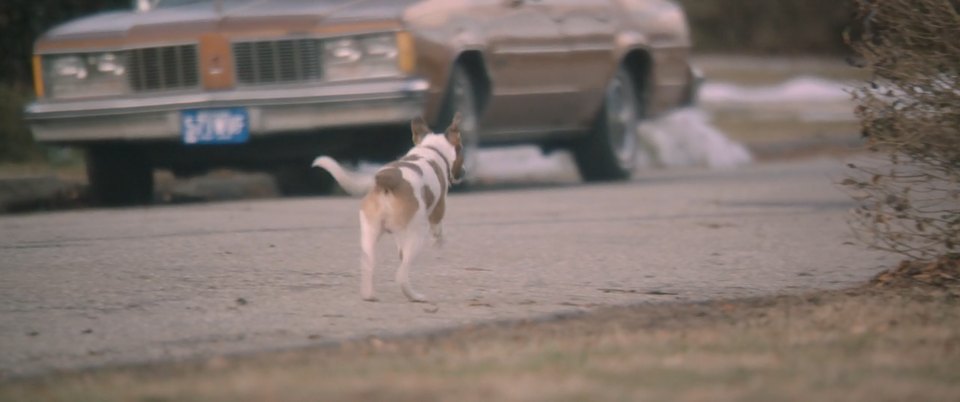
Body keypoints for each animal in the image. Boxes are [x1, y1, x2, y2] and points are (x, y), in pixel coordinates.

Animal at [312, 113, 464, 302]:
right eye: (461, 149)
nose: (463, 173)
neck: (430, 150)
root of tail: (388, 180)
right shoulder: (438, 209)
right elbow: (438, 228)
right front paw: (439, 242)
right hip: (415, 236)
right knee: (402, 275)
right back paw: (416, 296)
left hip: (370, 233)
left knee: (368, 264)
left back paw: (369, 295)